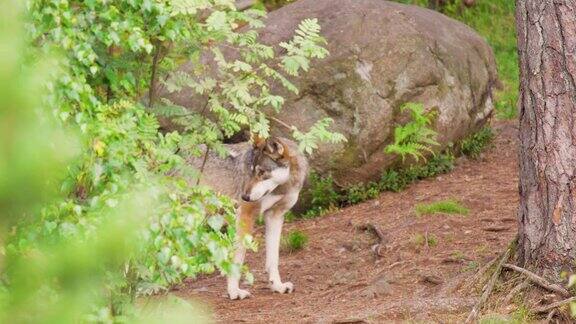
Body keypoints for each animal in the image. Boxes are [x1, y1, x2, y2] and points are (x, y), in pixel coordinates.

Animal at [188, 135, 306, 300]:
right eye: (250, 173)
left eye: (261, 172)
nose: (244, 197)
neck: (282, 187)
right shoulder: (245, 215)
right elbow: (238, 259)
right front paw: (233, 292)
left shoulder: (275, 216)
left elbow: (273, 260)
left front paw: (277, 286)